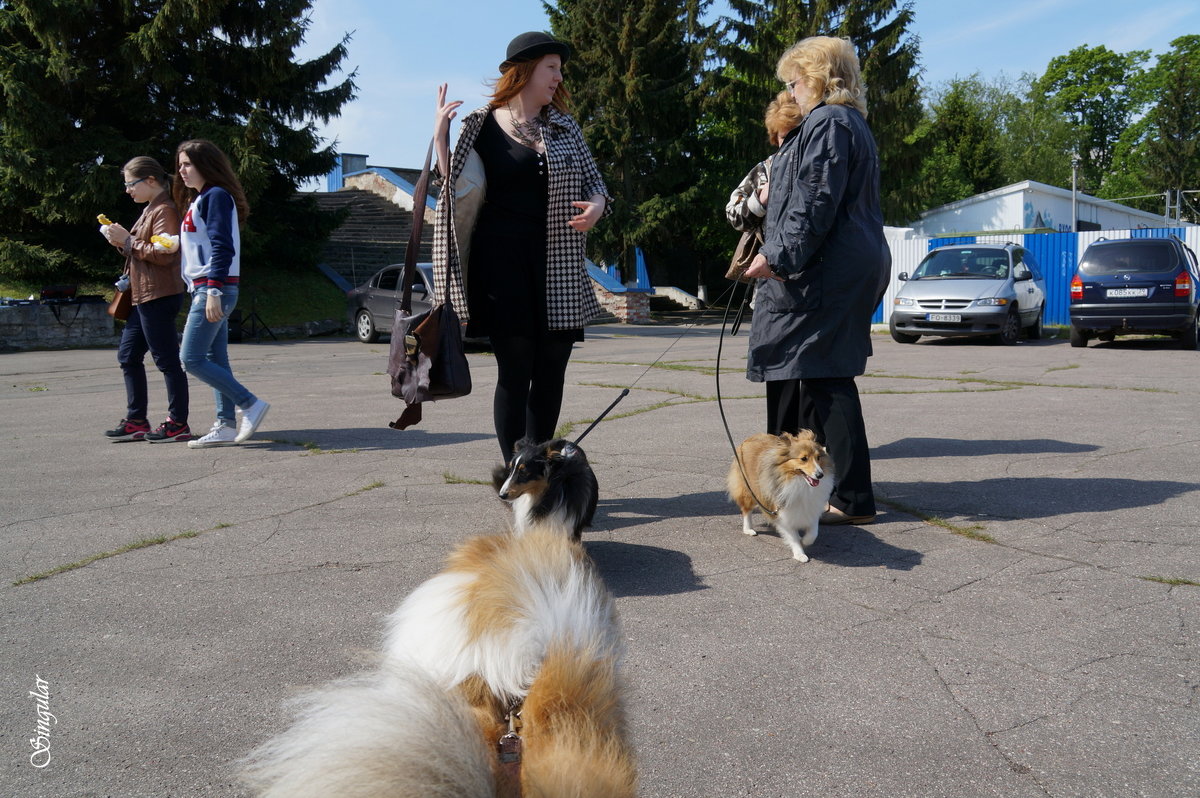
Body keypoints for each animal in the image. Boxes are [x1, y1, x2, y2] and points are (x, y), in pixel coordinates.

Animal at [729, 429, 835, 559]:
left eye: (818, 457)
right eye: (804, 458)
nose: (820, 475)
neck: (799, 482)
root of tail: (748, 439)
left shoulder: (812, 507)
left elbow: (813, 532)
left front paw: (805, 541)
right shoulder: (782, 513)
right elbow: (792, 536)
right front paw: (800, 554)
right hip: (748, 490)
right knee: (746, 510)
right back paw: (748, 529)